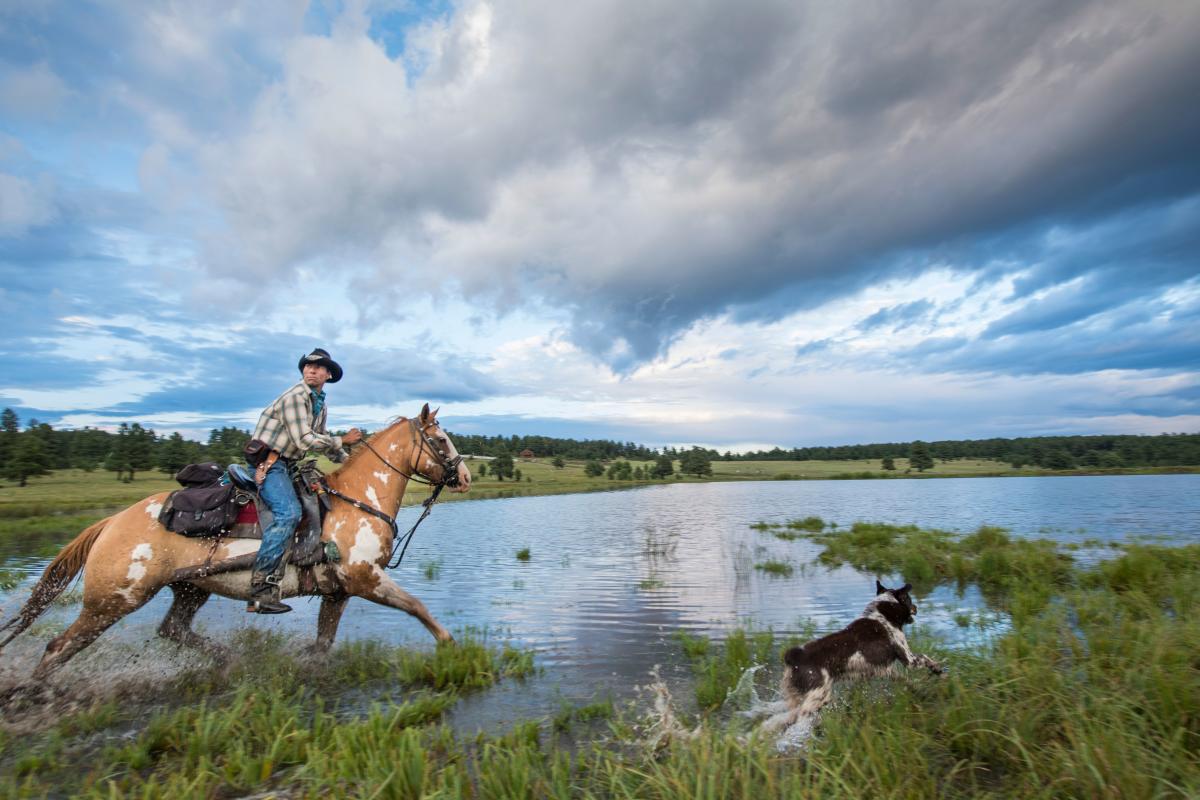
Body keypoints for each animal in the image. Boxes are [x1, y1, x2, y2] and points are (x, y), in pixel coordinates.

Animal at [0, 407, 470, 681]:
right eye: (440, 440)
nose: (464, 476)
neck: (356, 500)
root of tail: (112, 522)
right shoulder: (364, 579)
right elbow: (417, 606)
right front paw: (451, 648)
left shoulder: (337, 591)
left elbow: (323, 642)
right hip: (112, 600)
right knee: (59, 648)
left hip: (189, 589)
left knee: (172, 629)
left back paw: (227, 659)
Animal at [763, 578, 940, 734]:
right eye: (909, 599)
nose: (916, 607)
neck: (883, 614)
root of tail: (794, 657)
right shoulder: (908, 659)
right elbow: (925, 658)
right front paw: (937, 670)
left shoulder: (882, 671)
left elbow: (906, 682)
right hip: (818, 697)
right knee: (798, 718)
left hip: (795, 695)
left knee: (783, 716)